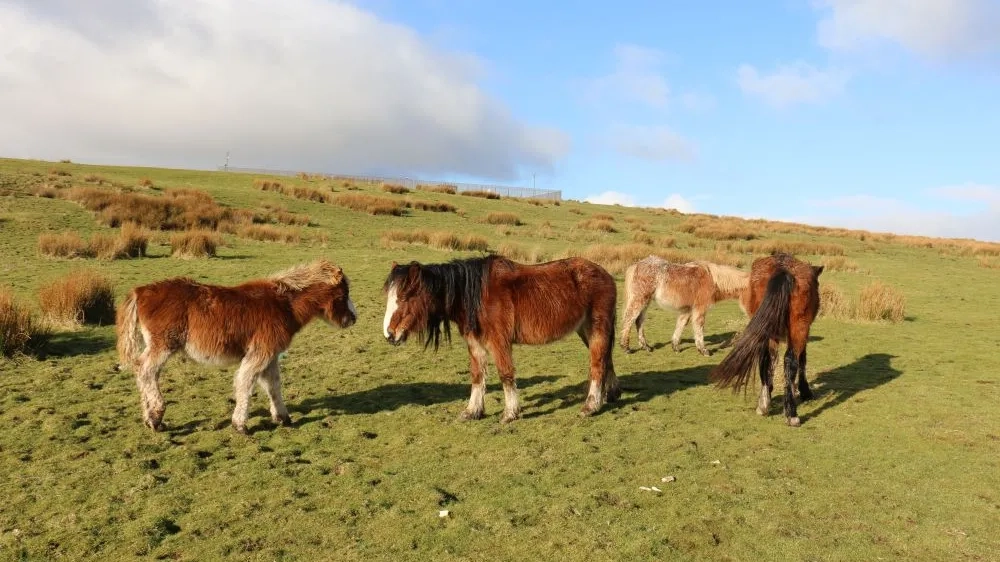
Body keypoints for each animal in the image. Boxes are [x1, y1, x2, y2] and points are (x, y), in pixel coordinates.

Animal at [116, 259, 357, 433]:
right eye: (343, 295)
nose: (353, 319)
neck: (283, 305)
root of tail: (140, 291)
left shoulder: (270, 355)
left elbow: (273, 385)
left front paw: (283, 418)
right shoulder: (260, 352)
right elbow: (245, 383)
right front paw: (240, 425)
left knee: (144, 372)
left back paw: (149, 418)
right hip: (163, 345)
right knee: (146, 371)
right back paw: (156, 417)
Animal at [381, 255, 620, 422]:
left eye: (405, 297)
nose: (389, 334)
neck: (477, 296)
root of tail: (606, 275)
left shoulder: (499, 343)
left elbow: (506, 375)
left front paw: (510, 413)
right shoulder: (475, 344)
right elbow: (477, 376)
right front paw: (472, 411)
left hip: (597, 328)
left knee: (597, 364)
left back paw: (590, 406)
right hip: (586, 331)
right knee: (606, 360)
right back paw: (609, 395)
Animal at [619, 256, 750, 356]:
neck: (712, 279)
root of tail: (637, 265)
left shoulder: (687, 310)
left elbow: (680, 325)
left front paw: (675, 347)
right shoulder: (699, 309)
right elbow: (699, 327)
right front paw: (703, 350)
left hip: (646, 301)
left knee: (639, 321)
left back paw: (646, 347)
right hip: (640, 299)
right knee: (629, 319)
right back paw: (626, 348)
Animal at [709, 252, 823, 427]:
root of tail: (782, 270)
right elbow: (802, 359)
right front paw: (804, 391)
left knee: (764, 359)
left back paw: (763, 404)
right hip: (799, 327)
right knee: (790, 360)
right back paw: (791, 414)